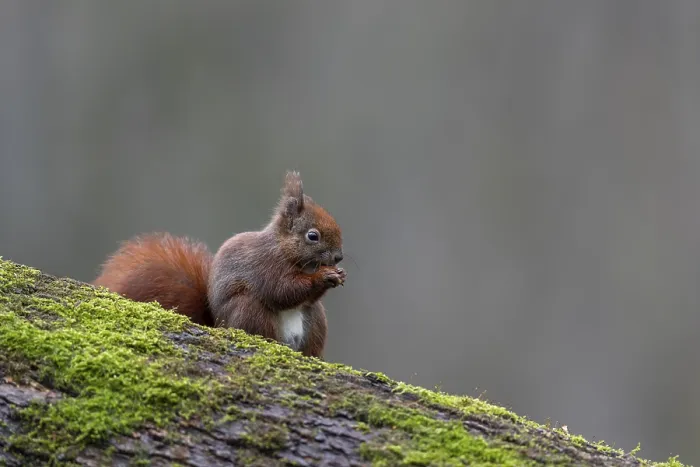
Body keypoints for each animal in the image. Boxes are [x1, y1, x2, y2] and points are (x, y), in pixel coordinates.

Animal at [92, 171, 346, 359]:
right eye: (312, 236)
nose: (339, 257)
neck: (285, 250)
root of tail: (218, 325)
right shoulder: (264, 266)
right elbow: (281, 291)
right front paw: (323, 276)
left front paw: (338, 274)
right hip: (248, 310)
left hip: (315, 321)